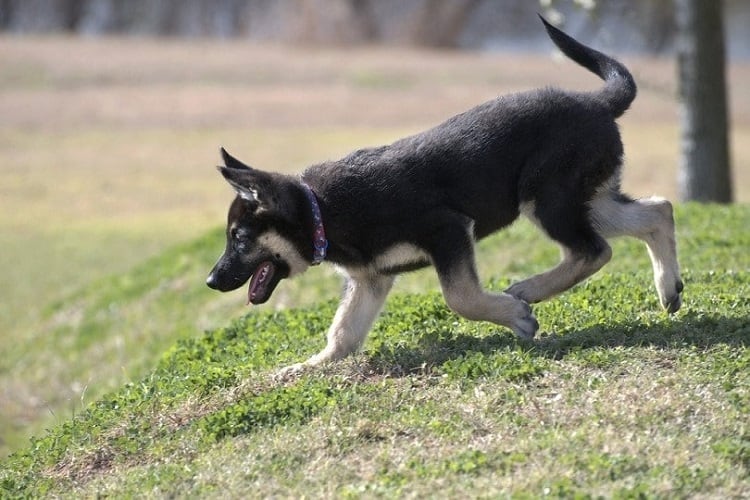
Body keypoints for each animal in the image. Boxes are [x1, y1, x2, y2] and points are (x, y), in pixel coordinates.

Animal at [204, 14, 680, 376]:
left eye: (239, 239)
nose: (211, 281)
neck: (319, 210)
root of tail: (598, 103)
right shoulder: (371, 278)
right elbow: (343, 333)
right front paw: (308, 367)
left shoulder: (447, 230)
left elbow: (460, 298)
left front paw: (515, 317)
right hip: (587, 198)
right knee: (657, 211)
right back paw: (668, 288)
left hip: (547, 198)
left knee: (594, 251)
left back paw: (530, 290)